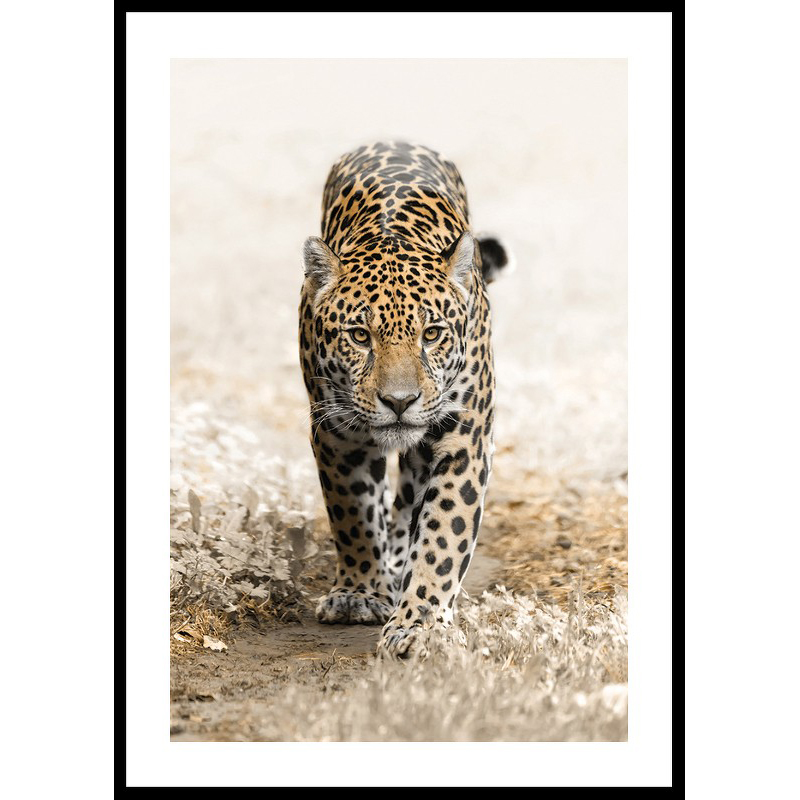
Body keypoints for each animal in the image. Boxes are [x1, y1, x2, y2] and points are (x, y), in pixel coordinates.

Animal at [298, 141, 512, 658]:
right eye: (359, 336)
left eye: (431, 334)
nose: (400, 401)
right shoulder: (337, 435)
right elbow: (352, 514)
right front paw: (358, 594)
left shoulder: (463, 440)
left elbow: (443, 535)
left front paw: (421, 624)